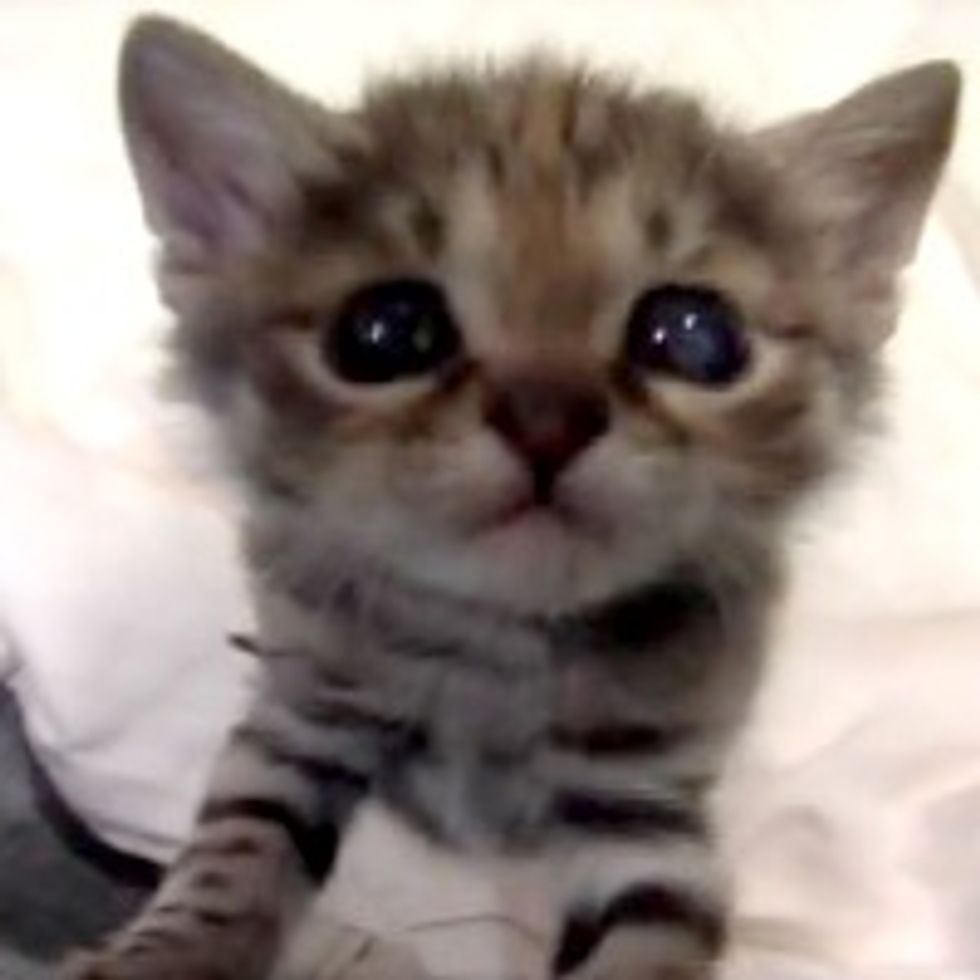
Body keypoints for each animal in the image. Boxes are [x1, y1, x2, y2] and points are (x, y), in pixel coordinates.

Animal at [69, 15, 956, 980]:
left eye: (694, 336)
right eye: (386, 332)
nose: (547, 421)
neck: (495, 642)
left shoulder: (651, 817)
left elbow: (649, 938)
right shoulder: (300, 718)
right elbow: (234, 849)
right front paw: (165, 954)